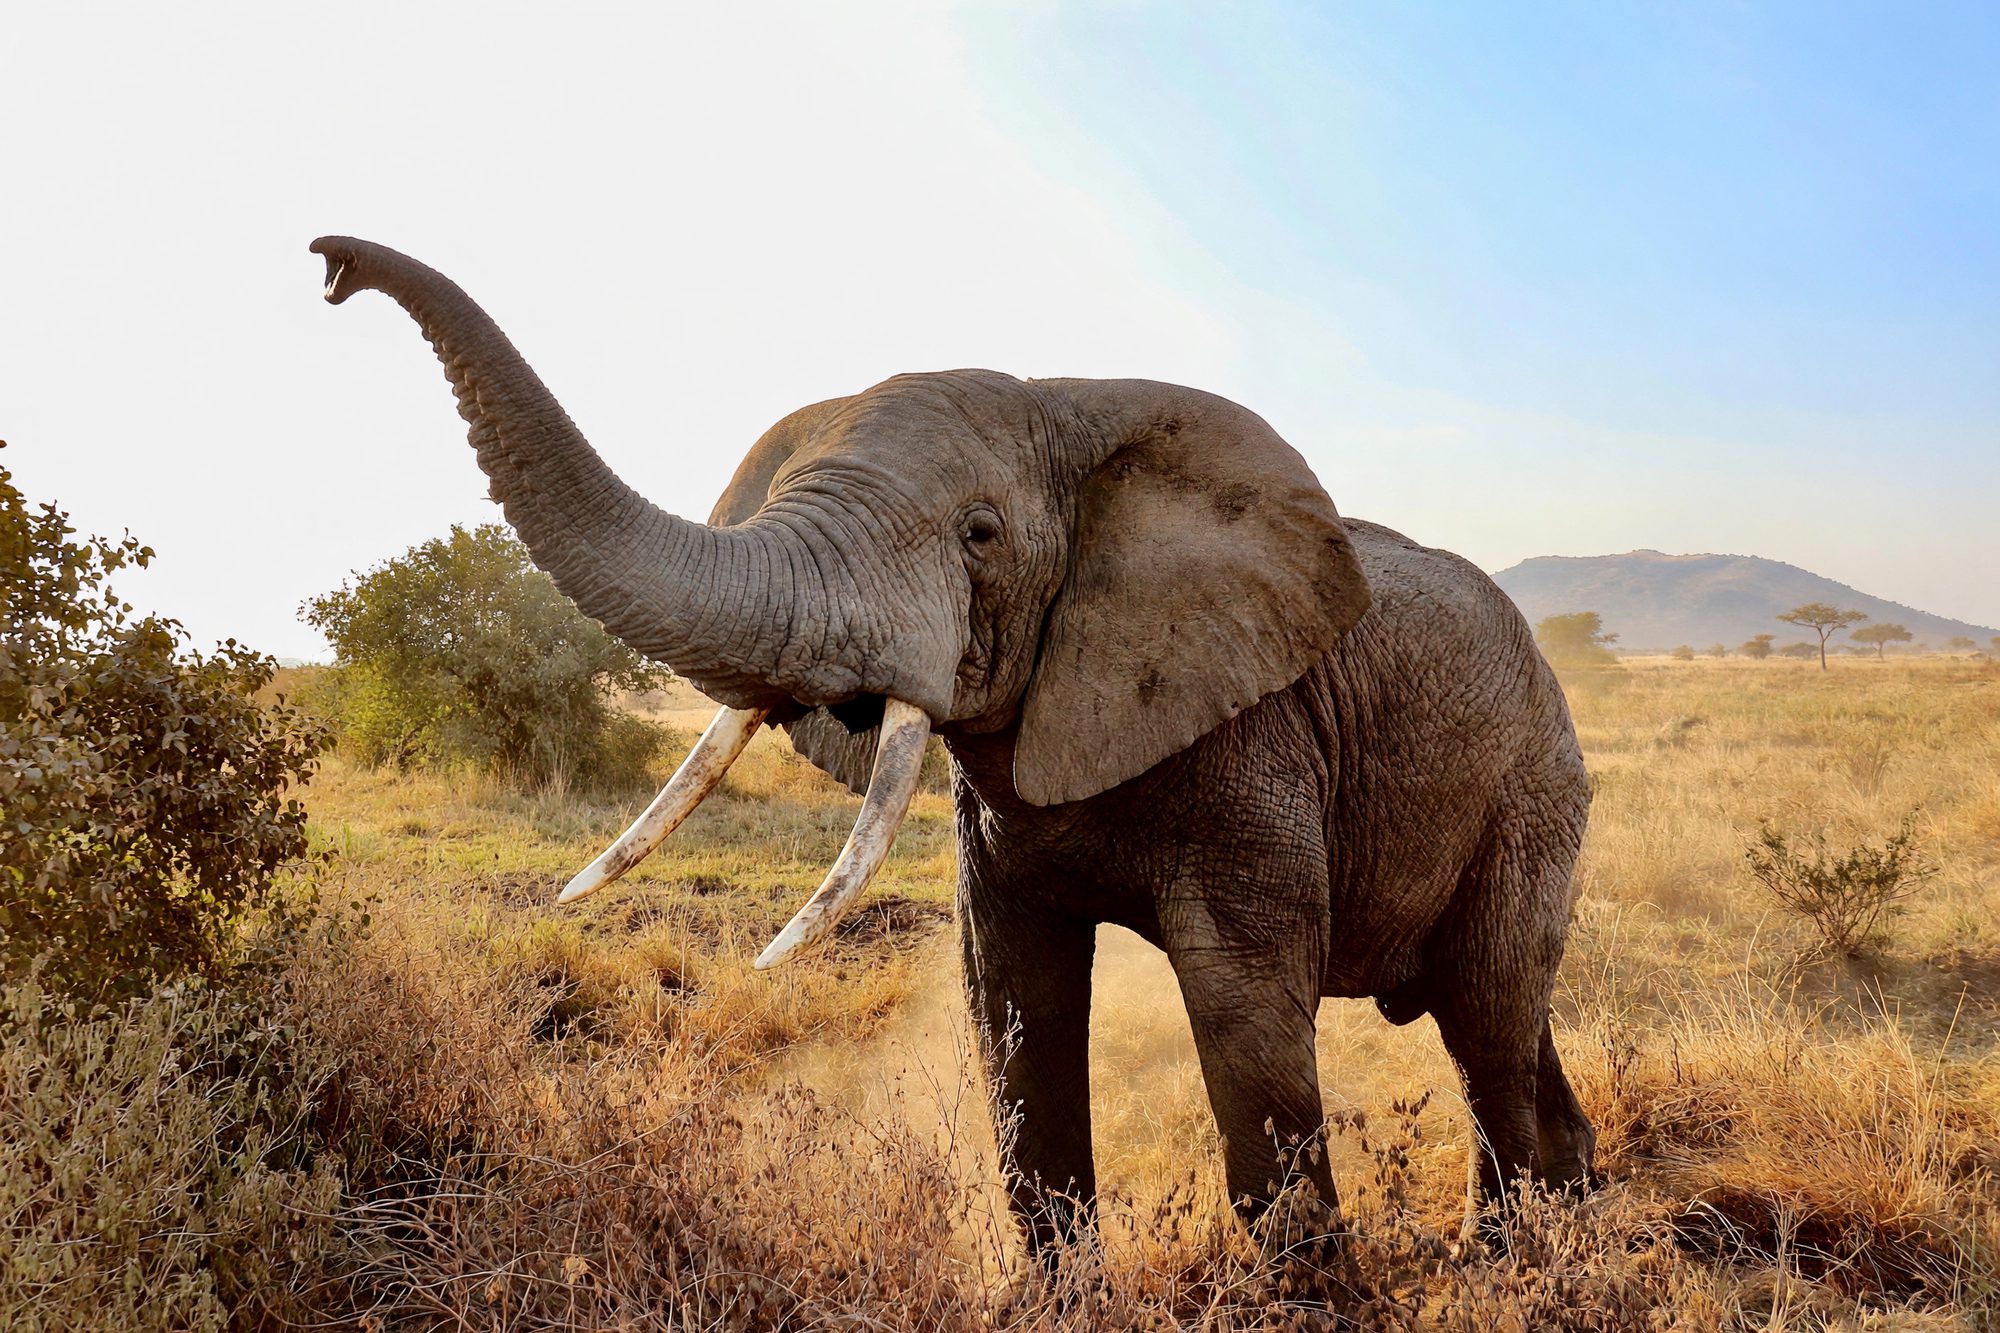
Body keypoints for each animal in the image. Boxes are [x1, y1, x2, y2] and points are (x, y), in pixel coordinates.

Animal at [309, 236, 1597, 1256]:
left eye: (979, 534)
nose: (328, 265)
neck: (1076, 414)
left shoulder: (1256, 736)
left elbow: (1243, 1019)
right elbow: (1012, 1008)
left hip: (1531, 789)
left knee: (1483, 1020)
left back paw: (1501, 1261)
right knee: (1500, 1018)